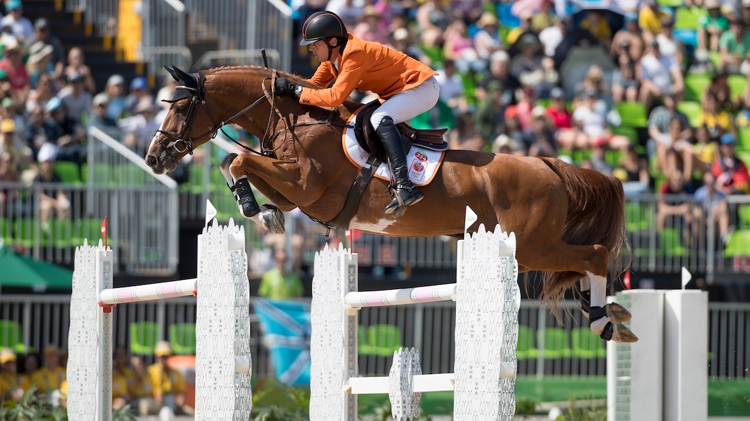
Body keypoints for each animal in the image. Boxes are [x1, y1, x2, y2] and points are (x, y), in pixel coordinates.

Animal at [144, 65, 636, 342]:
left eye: (180, 107)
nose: (154, 157)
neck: (296, 118)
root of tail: (550, 165)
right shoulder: (294, 191)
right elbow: (233, 161)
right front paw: (262, 211)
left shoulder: (303, 184)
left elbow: (239, 158)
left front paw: (256, 210)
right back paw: (607, 313)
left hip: (532, 245)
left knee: (595, 254)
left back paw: (604, 320)